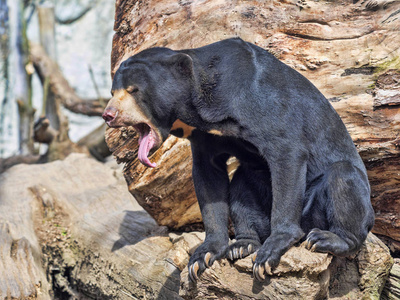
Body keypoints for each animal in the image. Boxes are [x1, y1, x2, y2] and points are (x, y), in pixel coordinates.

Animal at [102, 37, 376, 282]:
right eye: (113, 92)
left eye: (133, 91)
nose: (108, 115)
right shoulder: (206, 136)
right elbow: (208, 178)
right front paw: (202, 257)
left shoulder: (258, 103)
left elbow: (287, 151)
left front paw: (269, 255)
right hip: (254, 186)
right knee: (242, 188)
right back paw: (244, 244)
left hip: (331, 204)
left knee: (343, 178)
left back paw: (324, 238)